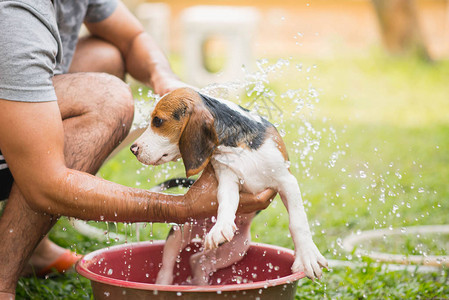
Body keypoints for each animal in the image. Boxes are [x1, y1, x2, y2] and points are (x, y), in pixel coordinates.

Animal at [130, 86, 326, 284]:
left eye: (158, 121)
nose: (133, 149)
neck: (236, 145)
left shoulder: (286, 180)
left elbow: (298, 221)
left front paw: (307, 256)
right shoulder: (227, 177)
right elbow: (226, 202)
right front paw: (221, 226)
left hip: (236, 248)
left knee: (198, 261)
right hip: (179, 232)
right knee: (168, 266)